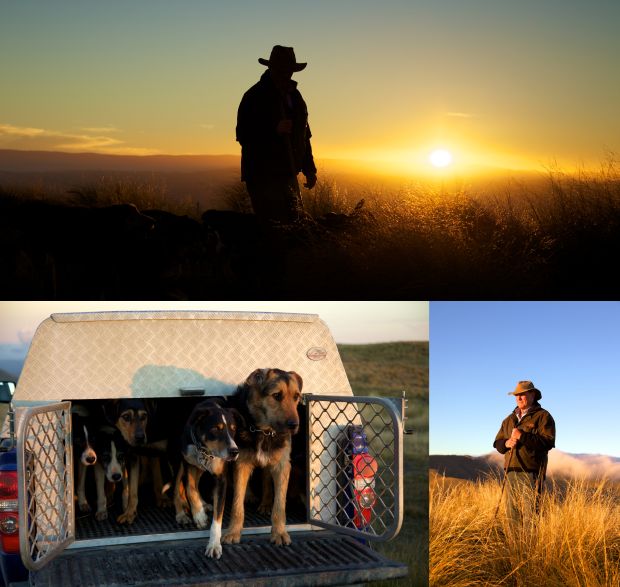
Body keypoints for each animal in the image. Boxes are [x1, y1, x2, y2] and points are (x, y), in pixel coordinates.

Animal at [223, 370, 302, 548]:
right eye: (277, 395)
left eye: (296, 396)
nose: (294, 425)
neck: (264, 431)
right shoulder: (241, 463)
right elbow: (237, 504)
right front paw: (233, 532)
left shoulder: (282, 466)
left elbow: (279, 505)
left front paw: (279, 533)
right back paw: (250, 496)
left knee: (266, 478)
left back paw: (265, 503)